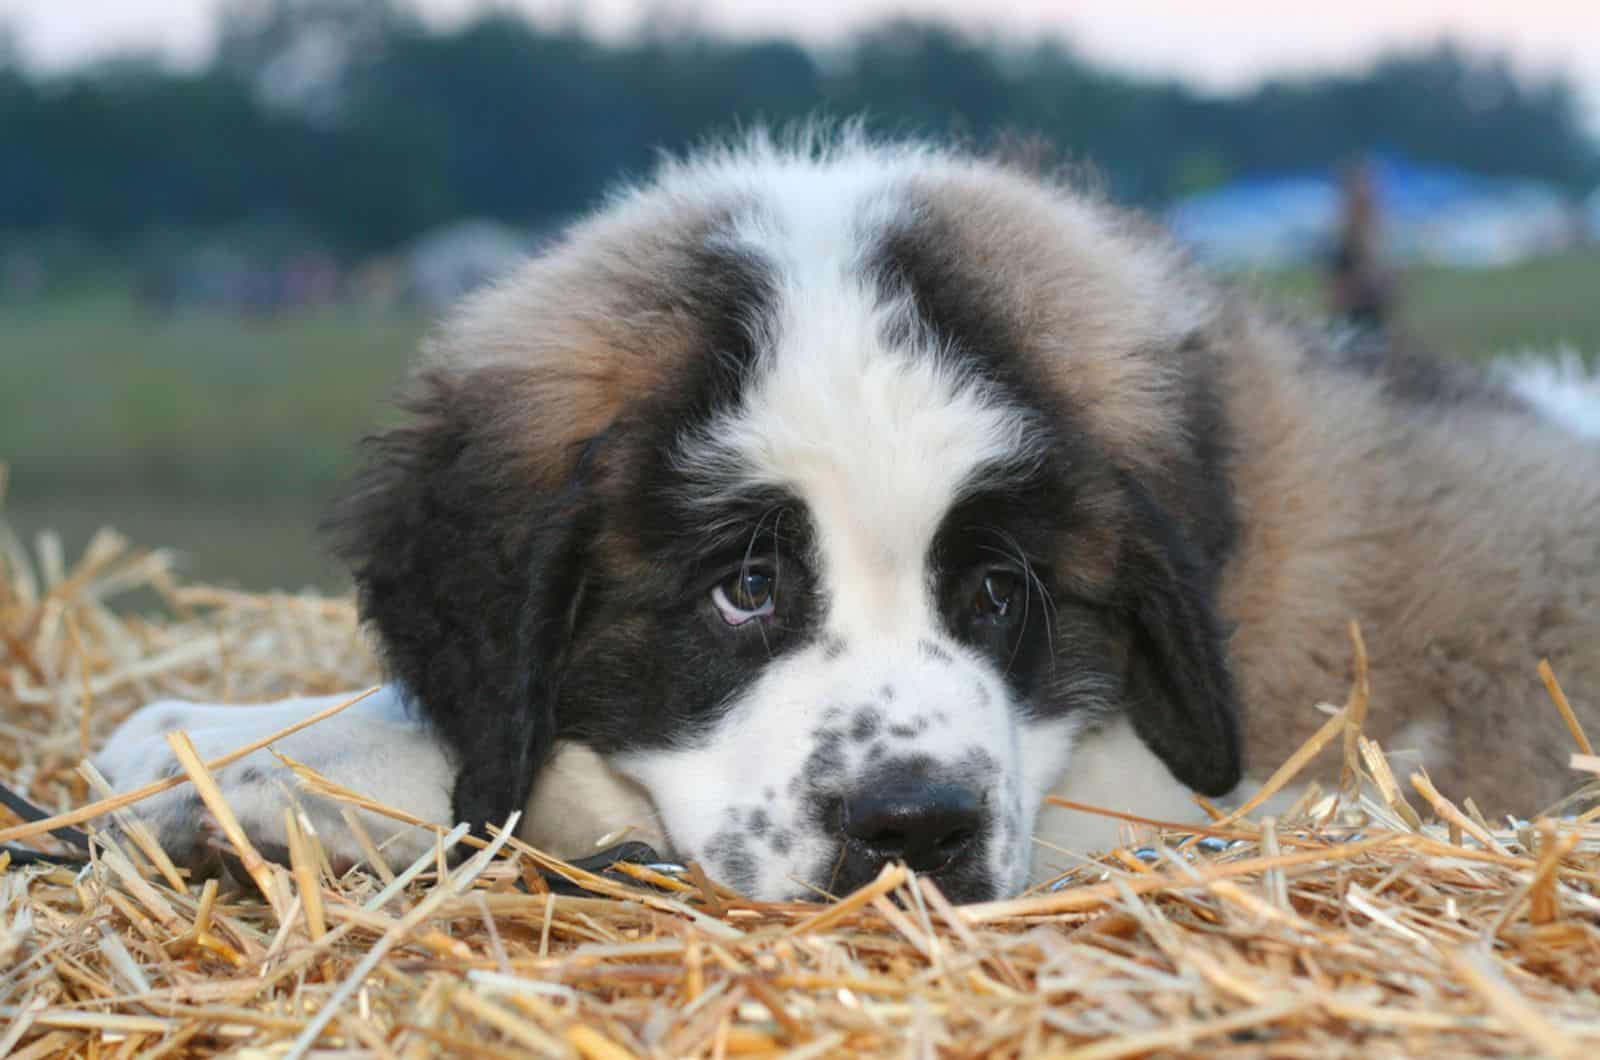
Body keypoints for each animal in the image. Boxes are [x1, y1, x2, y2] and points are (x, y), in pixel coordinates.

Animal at [96, 128, 1600, 903]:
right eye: (745, 588)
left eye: (998, 594)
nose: (916, 828)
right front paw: (224, 736)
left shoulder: (1214, 780)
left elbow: (531, 783)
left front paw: (232, 757)